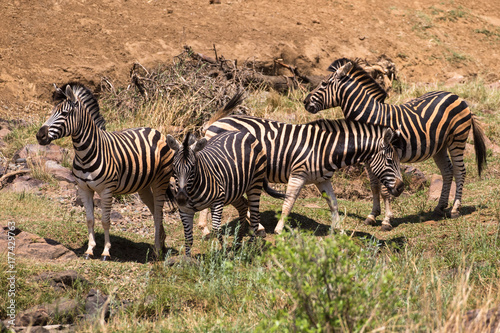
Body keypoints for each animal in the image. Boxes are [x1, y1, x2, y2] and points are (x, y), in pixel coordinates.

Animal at [36, 82, 176, 260]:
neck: (85, 153)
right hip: (144, 185)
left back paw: (157, 251)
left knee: (158, 212)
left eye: (65, 113)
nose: (39, 135)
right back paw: (162, 243)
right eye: (52, 112)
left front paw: (106, 252)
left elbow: (105, 221)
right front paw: (89, 250)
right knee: (155, 211)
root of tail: (155, 130)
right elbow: (90, 220)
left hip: (161, 180)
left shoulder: (106, 190)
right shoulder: (83, 189)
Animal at [205, 114, 404, 233]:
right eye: (389, 161)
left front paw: (338, 229)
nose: (401, 187)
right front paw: (278, 229)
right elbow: (288, 204)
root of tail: (215, 122)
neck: (326, 149)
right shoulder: (297, 175)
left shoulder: (322, 180)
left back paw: (257, 226)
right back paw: (205, 230)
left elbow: (334, 204)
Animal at [302, 57, 486, 228]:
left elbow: (385, 189)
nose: (304, 102)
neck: (369, 118)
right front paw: (372, 215)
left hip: (457, 139)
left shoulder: (384, 155)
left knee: (460, 171)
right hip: (439, 146)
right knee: (447, 172)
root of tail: (457, 96)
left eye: (324, 84)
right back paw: (440, 208)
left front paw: (386, 220)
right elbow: (374, 186)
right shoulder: (368, 158)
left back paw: (455, 209)